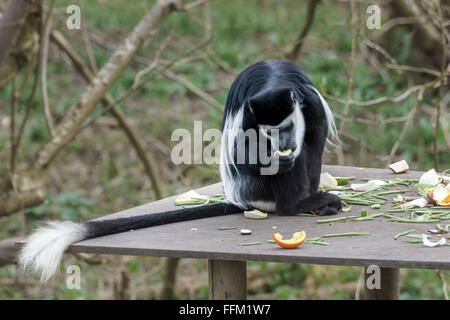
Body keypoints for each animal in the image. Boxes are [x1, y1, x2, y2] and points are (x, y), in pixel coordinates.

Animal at [18, 59, 342, 280]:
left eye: (285, 128)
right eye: (270, 133)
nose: (284, 143)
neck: (275, 80)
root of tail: (243, 199)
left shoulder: (311, 102)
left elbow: (315, 136)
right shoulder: (250, 115)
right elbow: (242, 150)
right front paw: (275, 161)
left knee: (308, 145)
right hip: (255, 187)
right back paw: (294, 204)